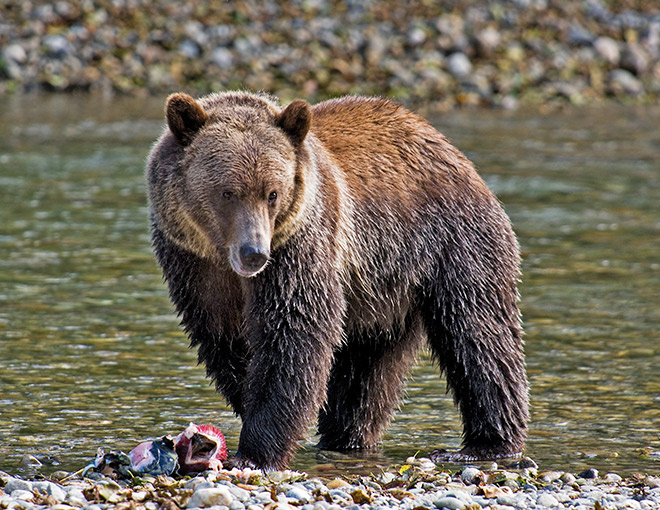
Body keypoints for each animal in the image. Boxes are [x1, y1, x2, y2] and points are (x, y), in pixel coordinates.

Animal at [147, 90, 528, 470]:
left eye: (272, 193)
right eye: (228, 192)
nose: (254, 252)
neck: (222, 256)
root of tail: (450, 149)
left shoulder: (300, 244)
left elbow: (293, 332)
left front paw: (255, 452)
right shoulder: (193, 264)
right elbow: (224, 337)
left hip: (452, 243)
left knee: (478, 334)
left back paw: (486, 443)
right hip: (379, 292)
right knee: (366, 371)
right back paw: (347, 438)